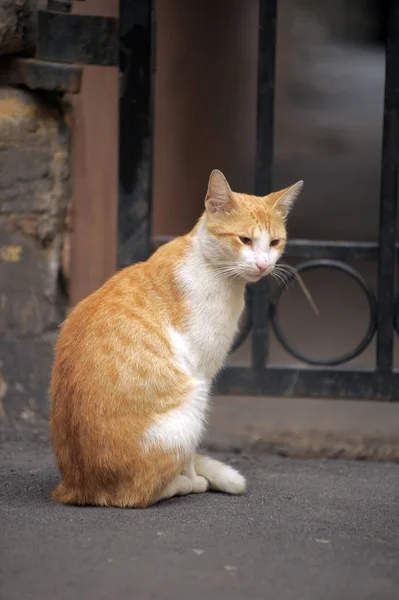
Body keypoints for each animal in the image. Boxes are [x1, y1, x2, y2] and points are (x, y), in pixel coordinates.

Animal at [49, 169, 304, 506]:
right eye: (245, 240)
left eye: (275, 242)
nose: (263, 264)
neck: (213, 270)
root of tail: (76, 487)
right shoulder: (202, 372)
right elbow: (190, 455)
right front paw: (193, 477)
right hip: (191, 404)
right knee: (138, 493)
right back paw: (183, 484)